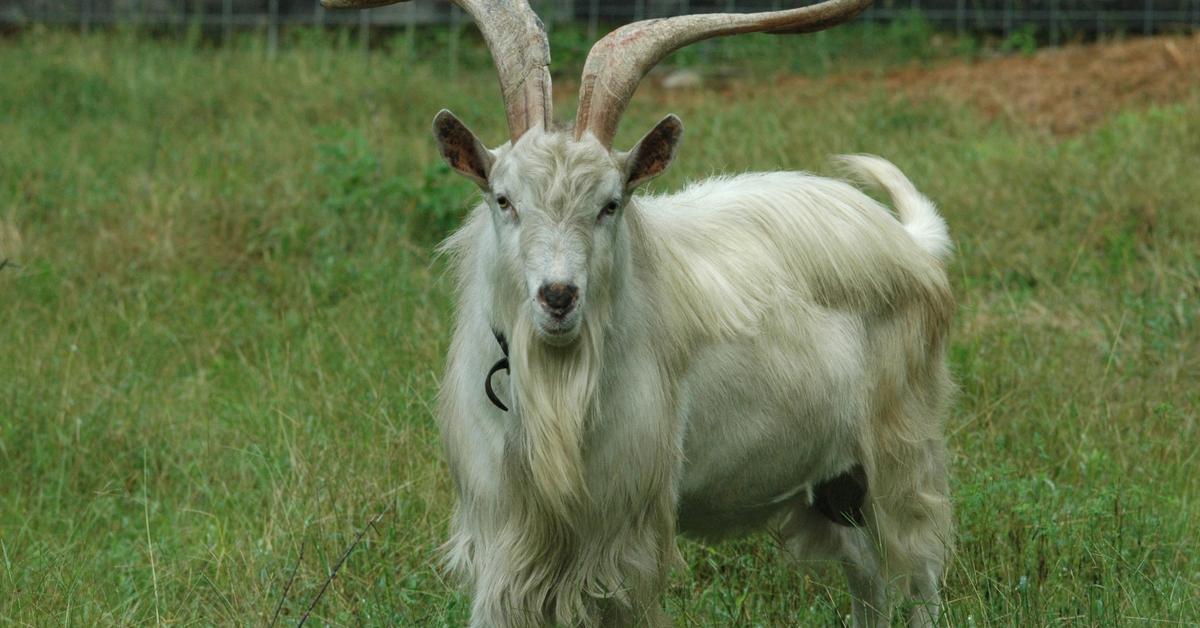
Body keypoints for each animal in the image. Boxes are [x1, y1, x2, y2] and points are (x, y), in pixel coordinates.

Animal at [321, 0, 955, 624]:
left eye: (611, 204)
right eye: (503, 200)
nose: (558, 297)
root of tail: (908, 243)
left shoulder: (624, 540)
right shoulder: (504, 538)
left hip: (900, 450)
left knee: (916, 572)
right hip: (827, 485)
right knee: (866, 574)